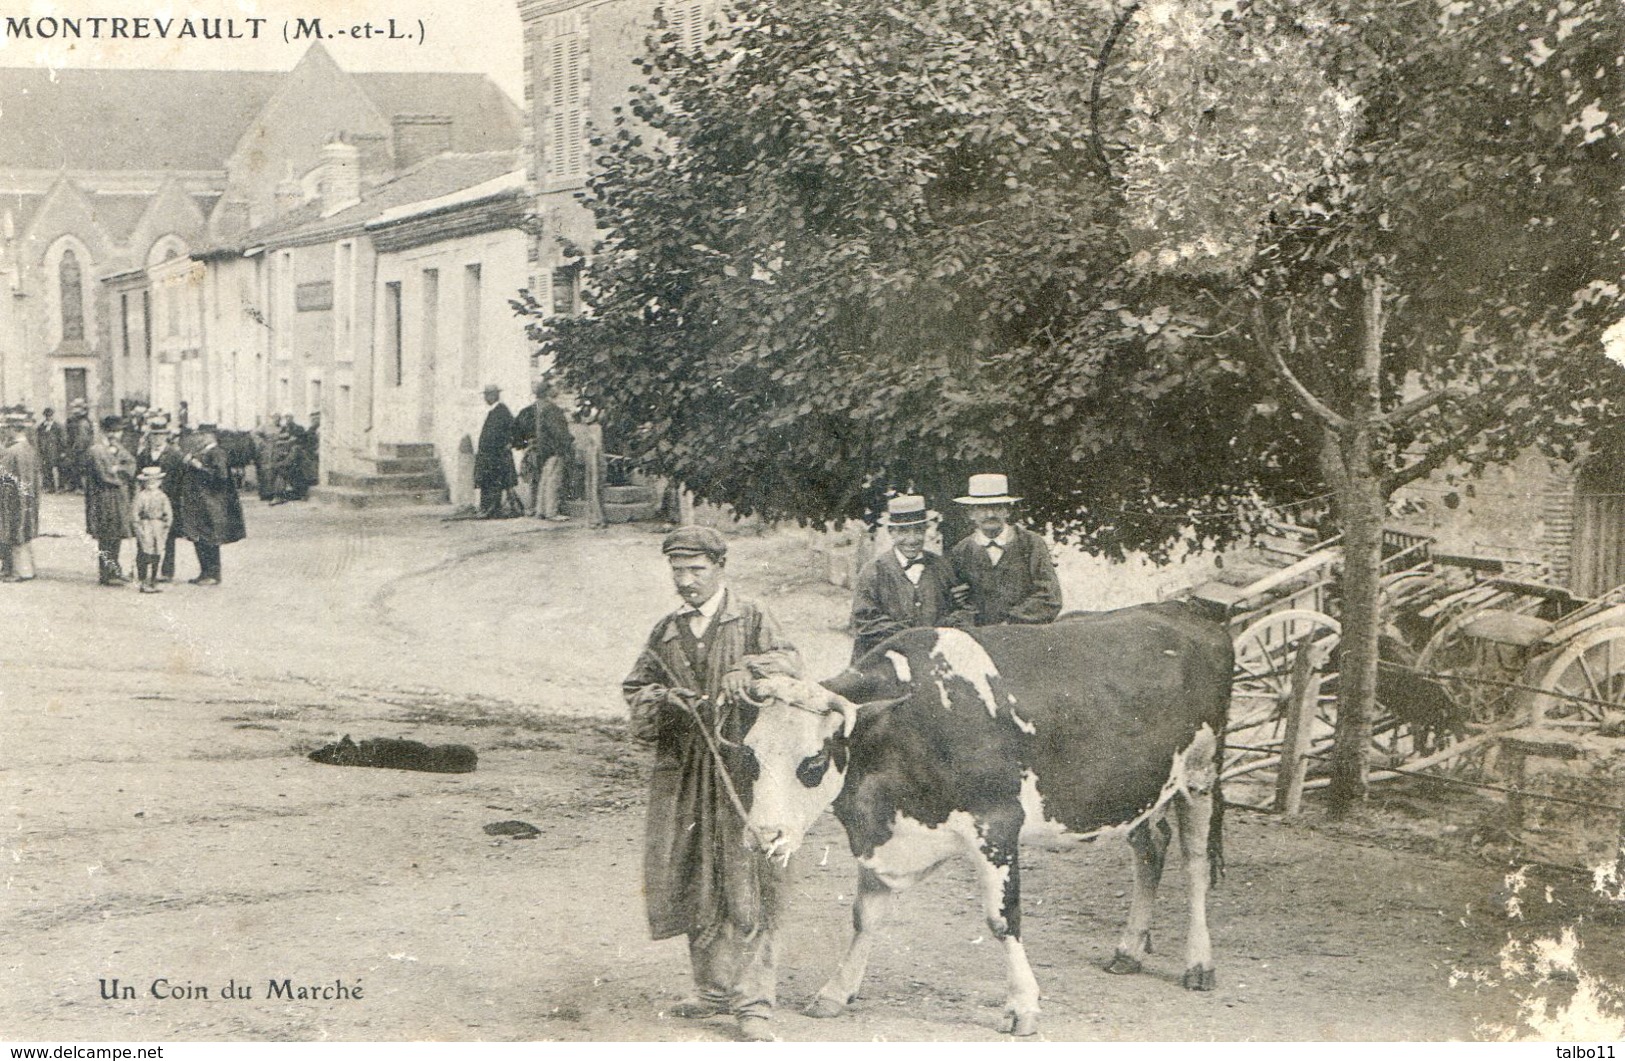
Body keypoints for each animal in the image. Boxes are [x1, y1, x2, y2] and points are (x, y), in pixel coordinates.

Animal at [741, 604, 1228, 1033]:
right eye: (750, 754)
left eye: (813, 761)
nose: (763, 835)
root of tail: (1187, 610)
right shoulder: (885, 836)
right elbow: (865, 915)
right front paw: (836, 992)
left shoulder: (996, 824)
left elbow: (1002, 918)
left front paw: (1023, 1006)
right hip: (1138, 791)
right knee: (1151, 849)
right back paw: (1128, 950)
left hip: (1200, 774)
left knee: (1196, 865)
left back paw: (1199, 963)